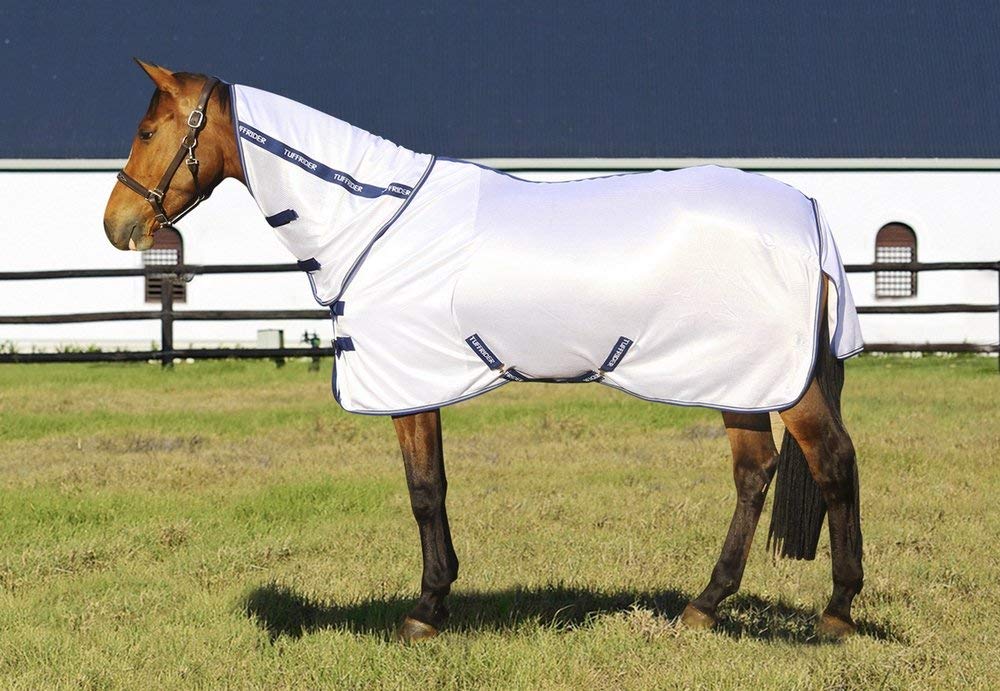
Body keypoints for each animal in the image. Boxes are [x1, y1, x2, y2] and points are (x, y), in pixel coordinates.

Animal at [103, 60, 864, 642]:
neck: (373, 219)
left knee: (831, 461)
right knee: (755, 472)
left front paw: (425, 611)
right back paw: (703, 607)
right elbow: (433, 485)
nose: (119, 224)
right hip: (739, 380)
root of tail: (810, 215)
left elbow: (424, 491)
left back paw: (835, 613)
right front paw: (436, 602)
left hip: (778, 383)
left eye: (147, 131)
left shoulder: (410, 382)